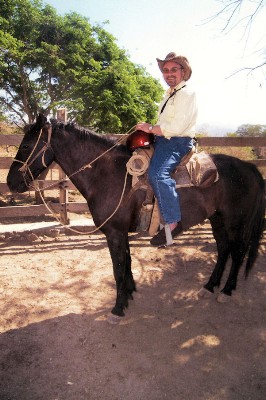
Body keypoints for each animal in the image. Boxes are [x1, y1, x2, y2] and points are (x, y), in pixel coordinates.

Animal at [6, 113, 266, 318]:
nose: (11, 182)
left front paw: (118, 307)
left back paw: (227, 290)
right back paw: (210, 286)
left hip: (234, 222)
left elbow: (118, 268)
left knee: (237, 252)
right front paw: (130, 293)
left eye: (27, 146)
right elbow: (127, 263)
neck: (107, 174)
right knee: (223, 250)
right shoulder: (121, 233)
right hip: (217, 219)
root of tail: (249, 167)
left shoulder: (114, 233)